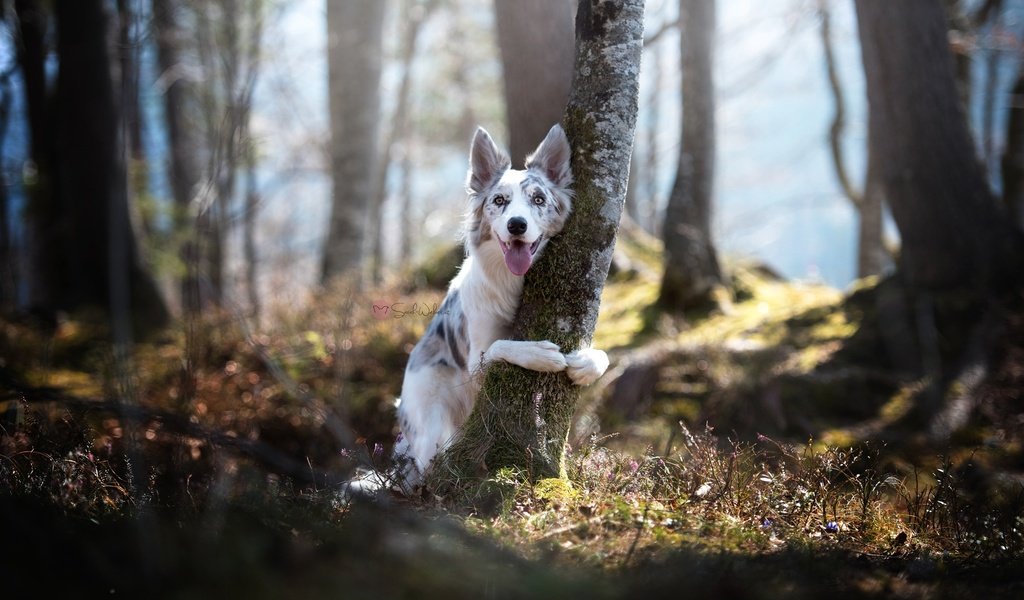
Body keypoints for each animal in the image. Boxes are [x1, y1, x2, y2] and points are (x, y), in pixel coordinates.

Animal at [352, 123, 606, 493]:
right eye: (499, 201)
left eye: (539, 200)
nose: (517, 224)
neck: (512, 282)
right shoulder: (474, 360)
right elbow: (502, 345)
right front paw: (539, 354)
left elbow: (602, 356)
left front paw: (587, 363)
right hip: (431, 413)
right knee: (429, 467)